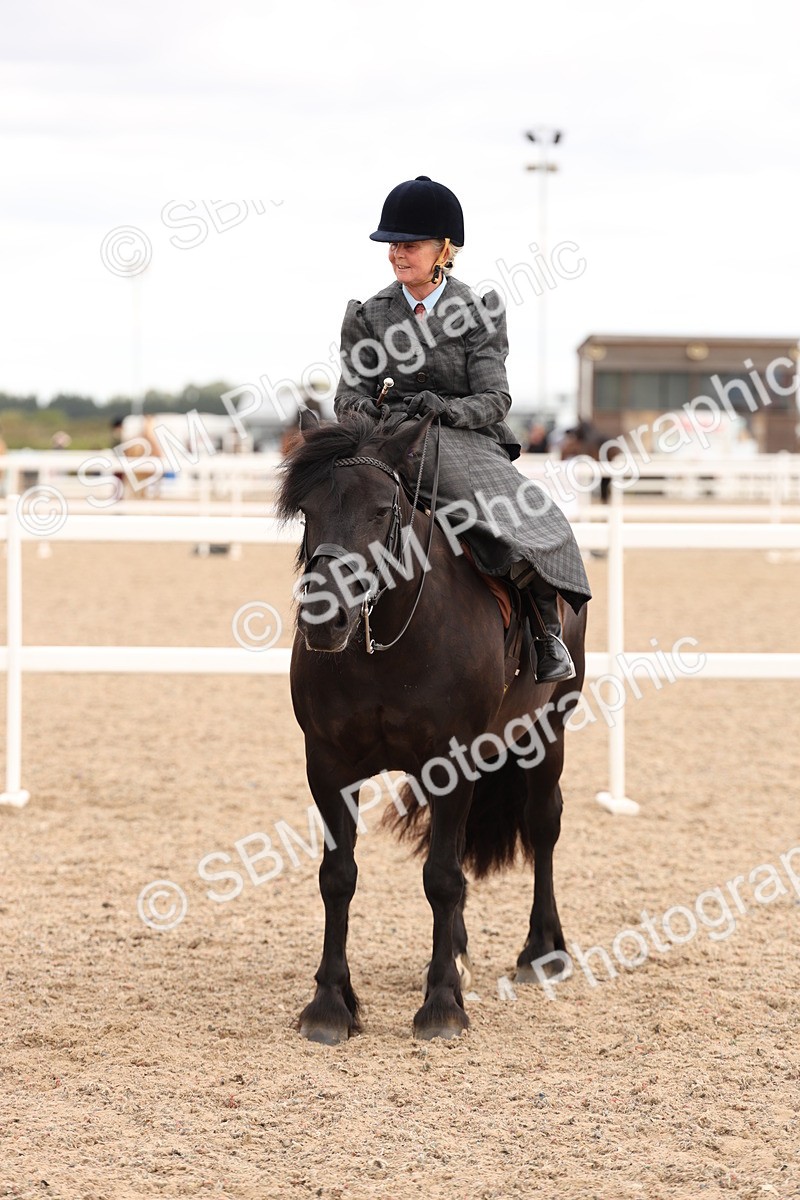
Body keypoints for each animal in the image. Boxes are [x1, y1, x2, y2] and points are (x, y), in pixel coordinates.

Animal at [276, 413, 587, 1043]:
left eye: (380, 509)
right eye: (308, 510)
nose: (325, 618)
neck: (385, 644)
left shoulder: (451, 761)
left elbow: (442, 876)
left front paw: (442, 1004)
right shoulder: (328, 765)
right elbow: (338, 876)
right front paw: (331, 1003)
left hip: (547, 732)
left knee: (543, 826)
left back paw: (542, 952)